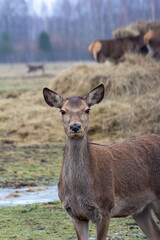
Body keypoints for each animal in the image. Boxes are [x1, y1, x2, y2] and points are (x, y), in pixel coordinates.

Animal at [42, 83, 160, 239]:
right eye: (62, 111)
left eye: (87, 109)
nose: (75, 126)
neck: (79, 191)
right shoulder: (75, 215)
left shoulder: (105, 208)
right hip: (140, 209)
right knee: (155, 232)